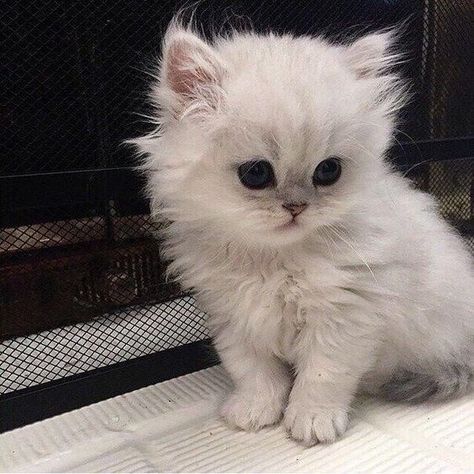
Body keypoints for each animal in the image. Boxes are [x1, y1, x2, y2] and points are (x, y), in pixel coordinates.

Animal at [134, 21, 474, 444]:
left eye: (328, 171)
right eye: (256, 173)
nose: (296, 207)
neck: (273, 261)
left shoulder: (344, 319)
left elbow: (322, 378)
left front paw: (312, 420)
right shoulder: (235, 317)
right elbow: (254, 373)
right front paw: (255, 409)